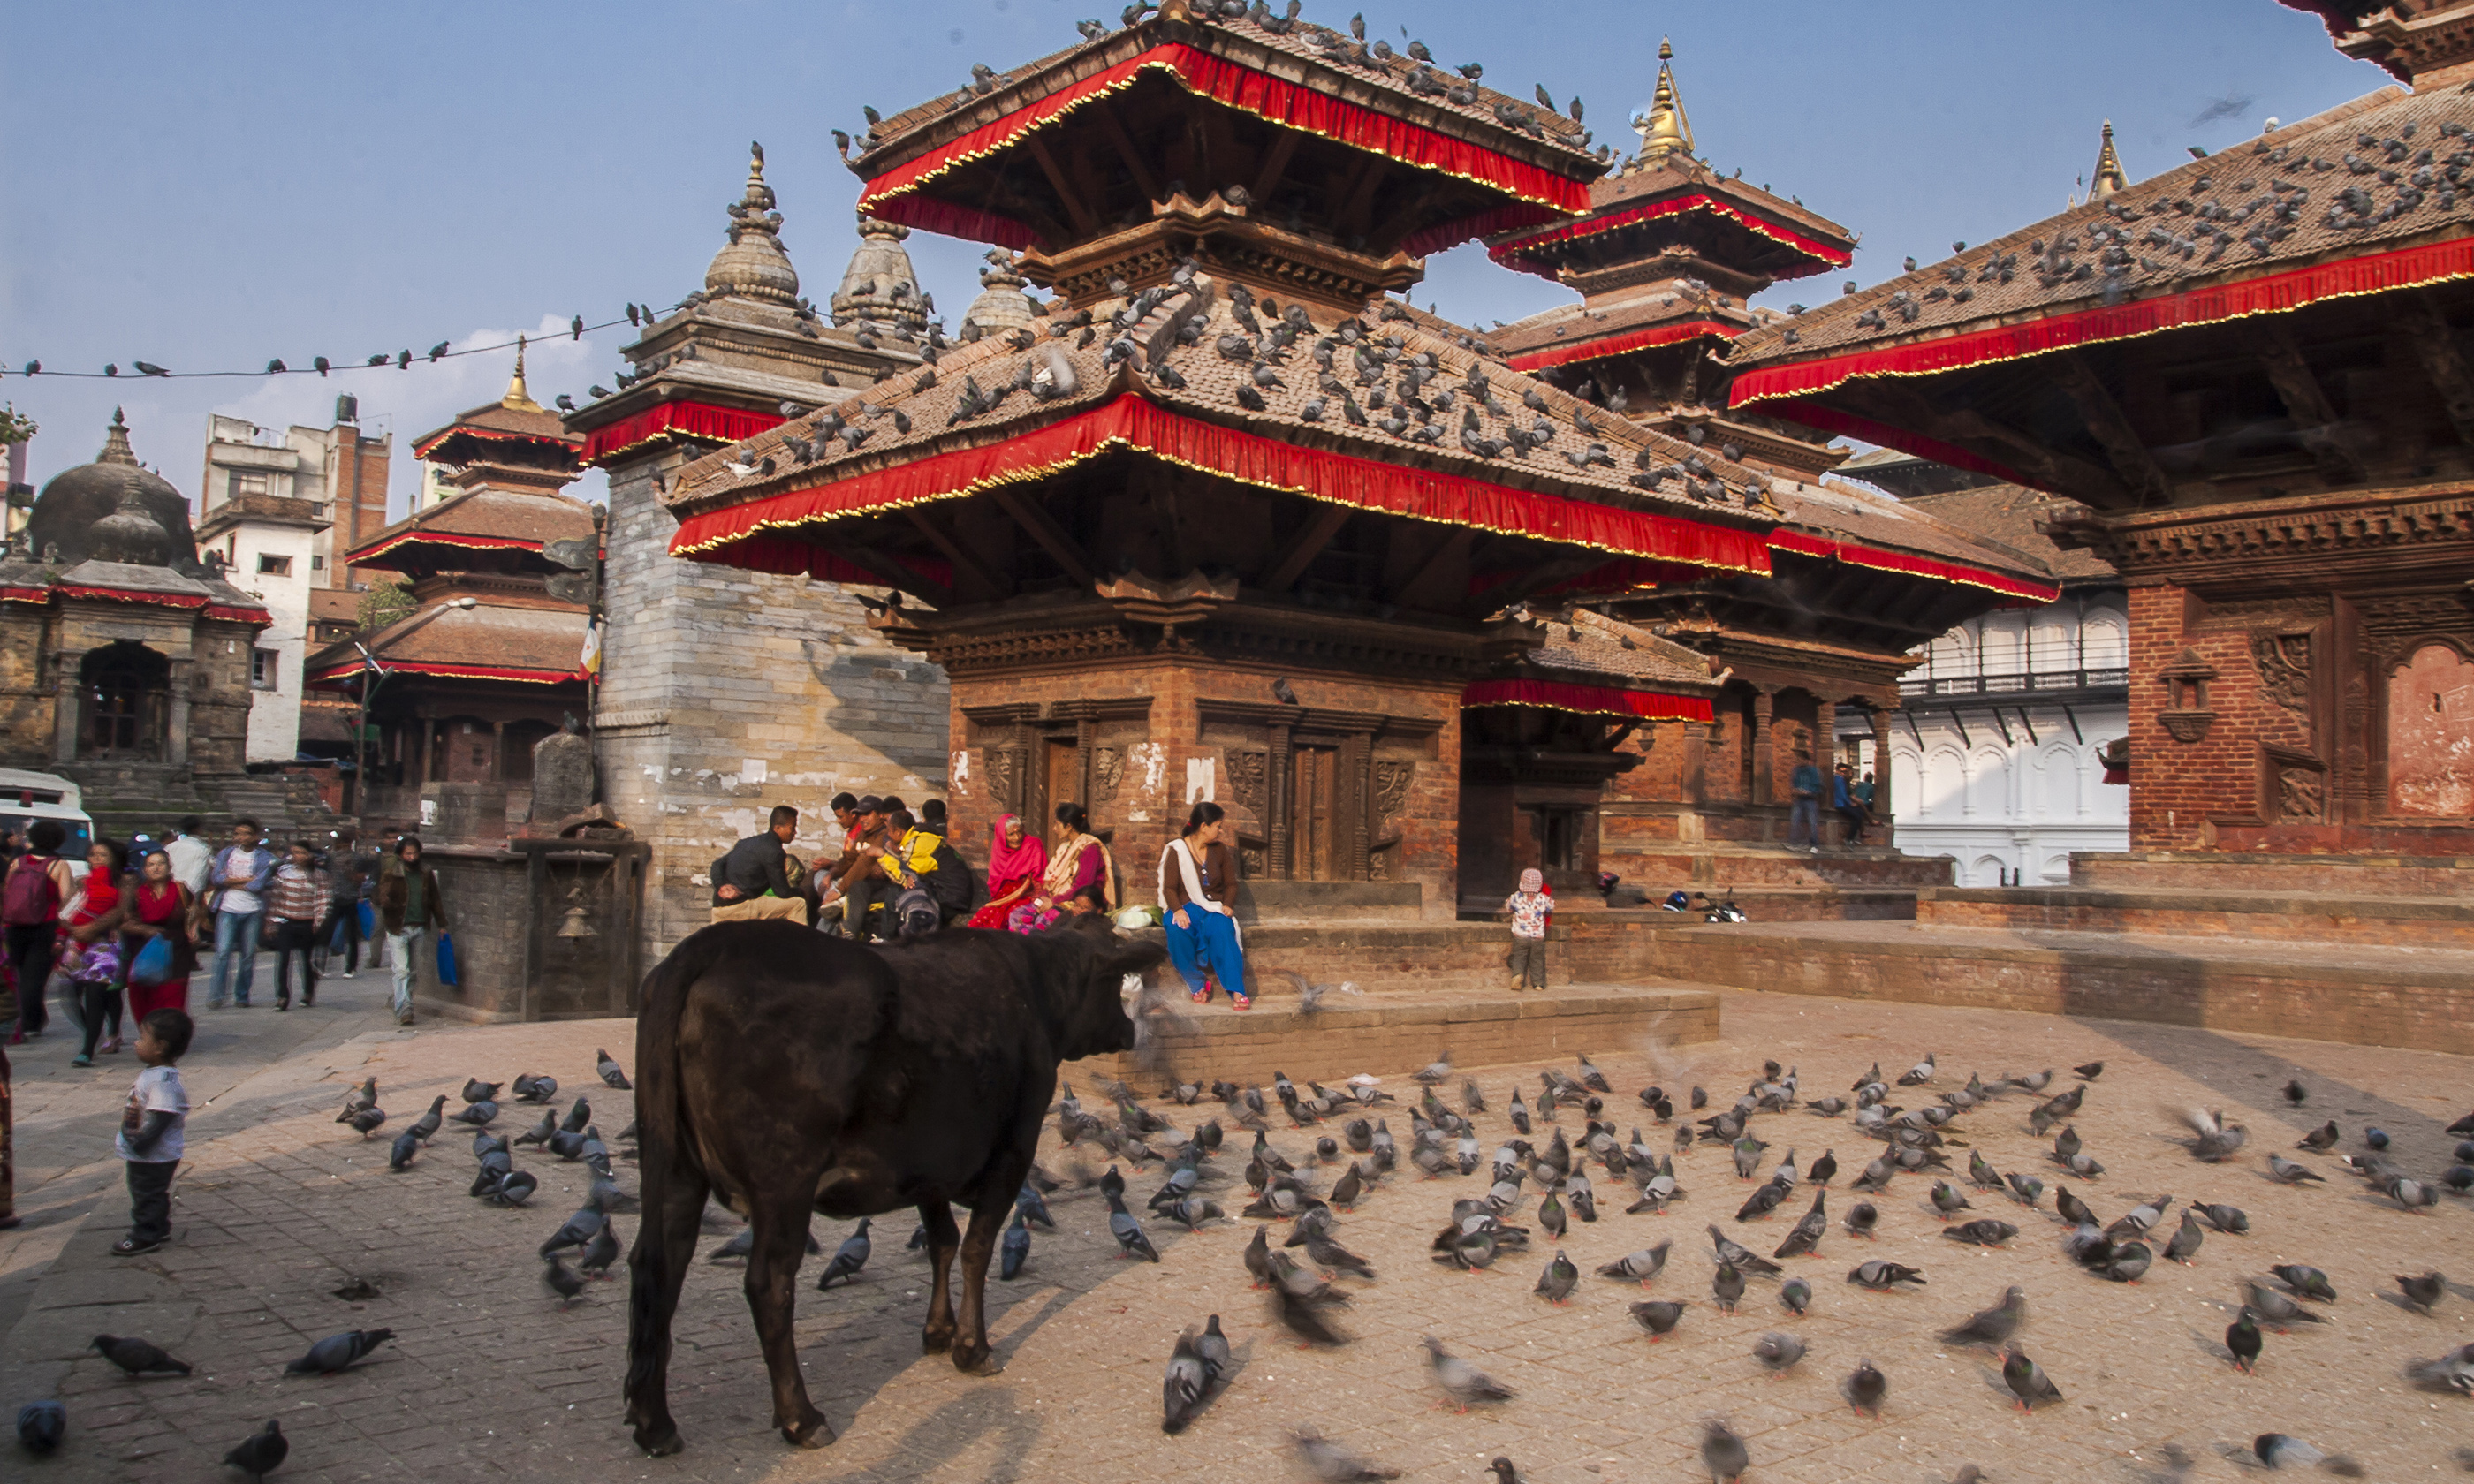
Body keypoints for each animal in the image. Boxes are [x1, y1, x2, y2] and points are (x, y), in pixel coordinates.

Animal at [618, 915, 1157, 1444]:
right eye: (1113, 982)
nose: (1128, 1031)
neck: (1035, 991)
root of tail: (709, 945)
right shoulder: (1012, 1151)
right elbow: (976, 1248)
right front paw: (972, 1348)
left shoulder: (928, 1165)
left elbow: (943, 1242)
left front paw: (937, 1333)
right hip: (783, 1178)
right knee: (768, 1283)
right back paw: (801, 1418)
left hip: (673, 1167)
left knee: (657, 1263)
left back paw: (654, 1422)